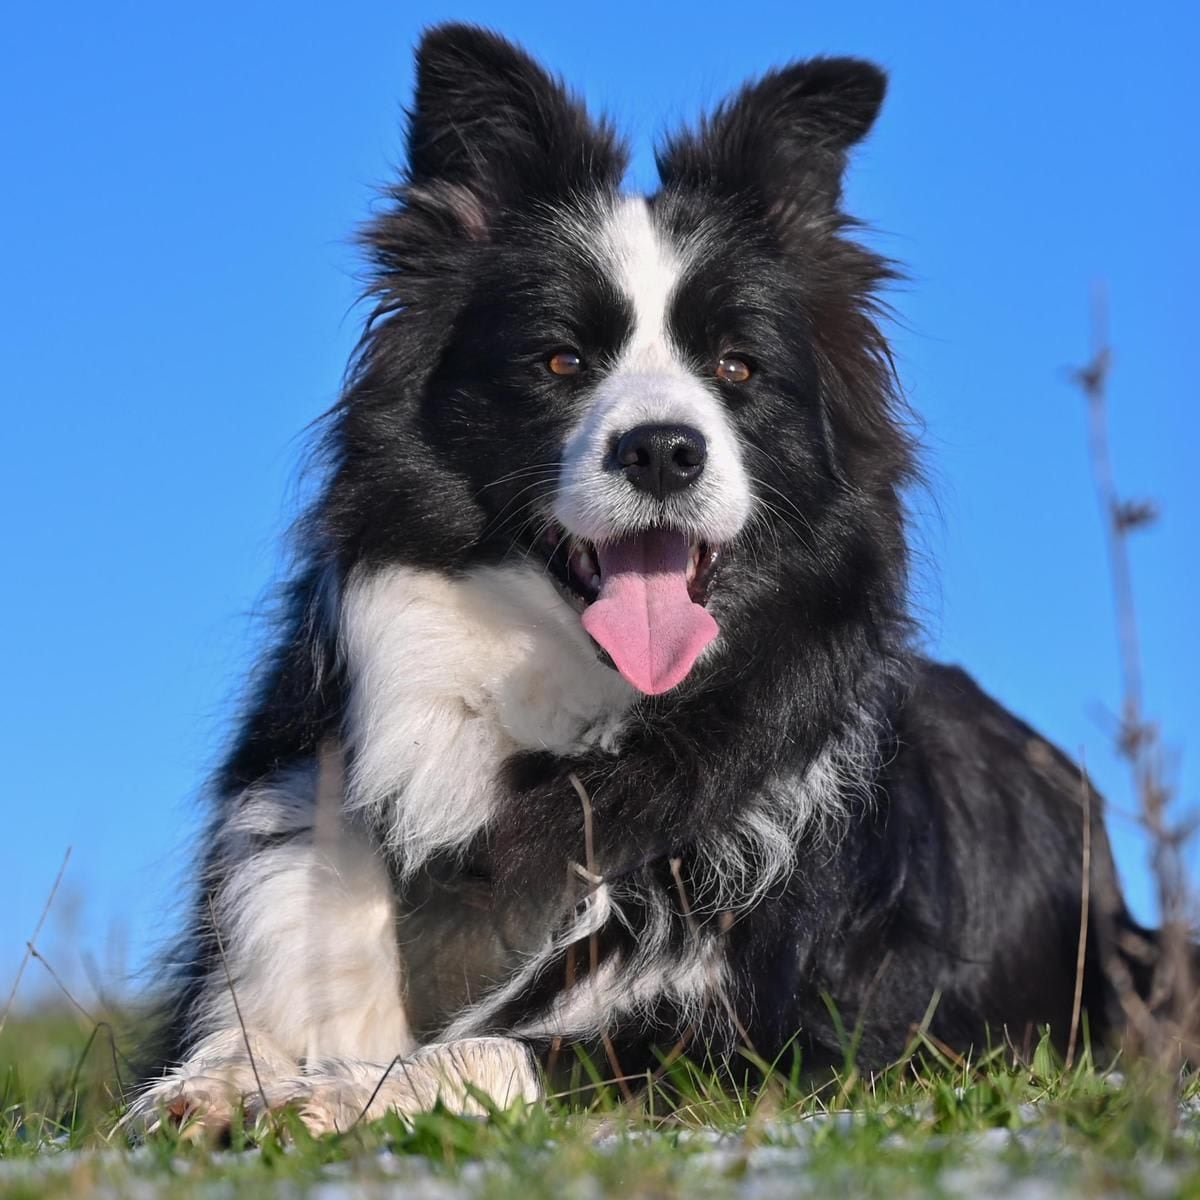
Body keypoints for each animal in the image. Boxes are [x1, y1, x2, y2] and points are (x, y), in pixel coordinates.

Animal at [133, 25, 1161, 1132]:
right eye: (559, 360)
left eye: (737, 368)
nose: (664, 451)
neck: (546, 736)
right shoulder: (291, 857)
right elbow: (243, 1030)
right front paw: (215, 1084)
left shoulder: (763, 1046)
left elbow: (491, 1051)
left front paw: (327, 1092)